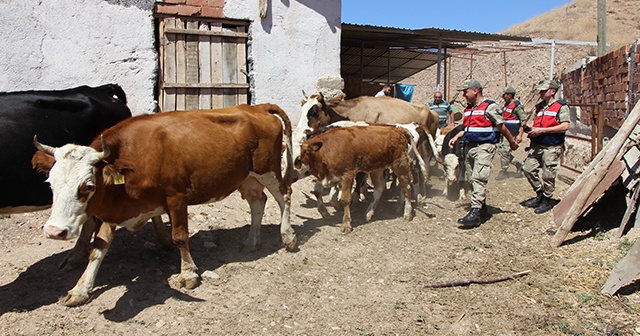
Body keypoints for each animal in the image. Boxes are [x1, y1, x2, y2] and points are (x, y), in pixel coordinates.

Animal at [32, 103, 298, 306]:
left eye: (88, 186)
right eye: (51, 183)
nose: (54, 231)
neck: (134, 158)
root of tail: (256, 107)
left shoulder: (176, 197)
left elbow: (179, 236)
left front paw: (188, 273)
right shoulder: (114, 210)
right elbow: (98, 249)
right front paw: (81, 289)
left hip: (268, 170)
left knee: (284, 196)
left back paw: (288, 237)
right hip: (246, 177)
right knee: (258, 202)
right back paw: (251, 242)